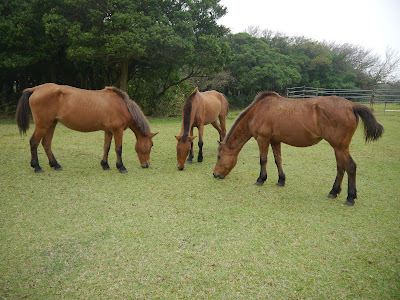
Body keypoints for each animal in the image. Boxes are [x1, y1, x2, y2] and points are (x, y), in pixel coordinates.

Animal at [16, 83, 158, 175]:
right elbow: (118, 149)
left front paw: (105, 165)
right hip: (42, 125)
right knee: (34, 142)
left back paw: (55, 165)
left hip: (52, 124)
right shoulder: (118, 130)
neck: (122, 105)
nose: (146, 165)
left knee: (46, 143)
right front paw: (121, 167)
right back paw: (37, 167)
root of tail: (35, 89)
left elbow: (106, 147)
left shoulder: (108, 131)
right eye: (151, 145)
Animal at [212, 90, 384, 205]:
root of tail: (352, 105)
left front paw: (261, 179)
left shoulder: (263, 140)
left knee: (351, 167)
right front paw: (281, 180)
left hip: (340, 147)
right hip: (338, 148)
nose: (215, 174)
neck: (259, 110)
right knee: (341, 168)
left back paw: (350, 197)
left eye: (219, 156)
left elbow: (263, 160)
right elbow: (278, 160)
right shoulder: (275, 141)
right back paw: (334, 192)